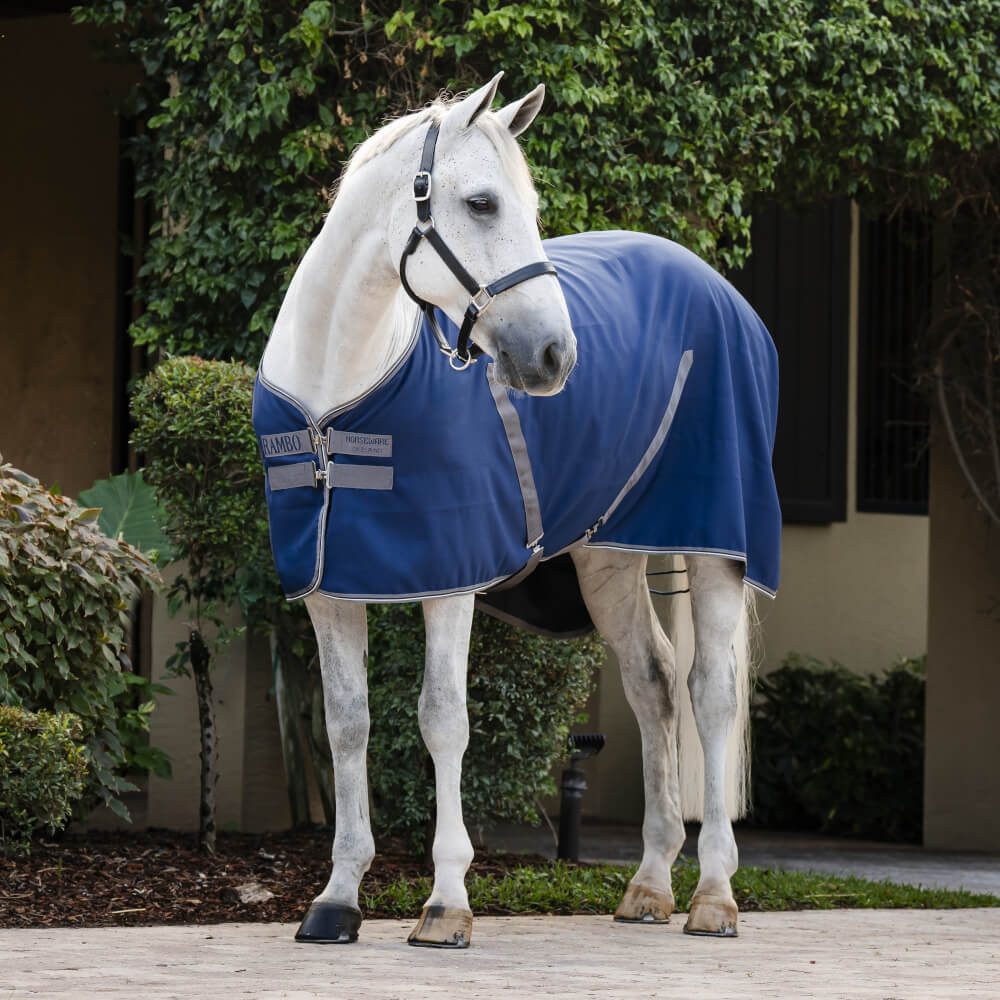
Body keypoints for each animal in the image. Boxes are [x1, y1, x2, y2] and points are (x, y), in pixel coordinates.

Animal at [254, 72, 780, 948]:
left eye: (526, 207)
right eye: (482, 202)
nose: (555, 357)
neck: (339, 399)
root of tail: (721, 290)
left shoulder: (449, 582)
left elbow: (442, 719)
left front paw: (445, 903)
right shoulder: (329, 587)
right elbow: (346, 724)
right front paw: (336, 899)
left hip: (716, 545)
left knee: (710, 694)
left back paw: (712, 895)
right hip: (609, 557)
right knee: (653, 683)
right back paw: (647, 885)